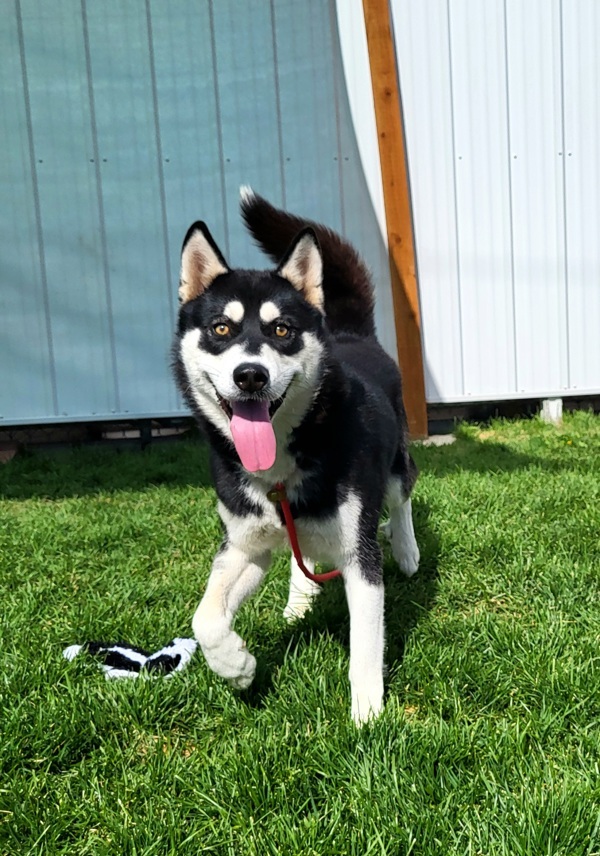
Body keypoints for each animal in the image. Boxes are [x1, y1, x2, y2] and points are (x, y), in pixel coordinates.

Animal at [171, 189, 420, 724]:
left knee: (402, 493)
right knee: (300, 551)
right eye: (220, 328)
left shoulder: (359, 552)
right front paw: (235, 665)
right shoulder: (244, 544)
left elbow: (366, 641)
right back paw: (300, 597)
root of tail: (351, 335)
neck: (284, 464)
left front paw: (367, 715)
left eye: (282, 330)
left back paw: (408, 549)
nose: (250, 375)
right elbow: (205, 618)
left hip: (394, 464)